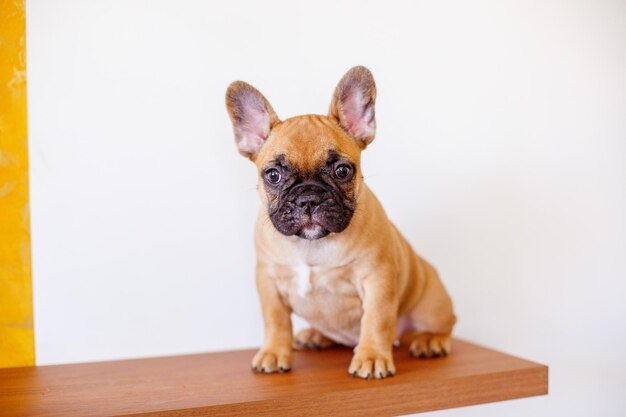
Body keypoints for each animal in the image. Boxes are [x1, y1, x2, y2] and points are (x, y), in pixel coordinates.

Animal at [223, 64, 454, 376]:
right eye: (273, 175)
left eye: (342, 170)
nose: (308, 198)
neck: (312, 246)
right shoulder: (268, 282)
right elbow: (275, 320)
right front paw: (273, 352)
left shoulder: (377, 280)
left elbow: (377, 321)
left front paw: (372, 357)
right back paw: (314, 336)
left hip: (430, 304)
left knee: (444, 325)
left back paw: (431, 341)